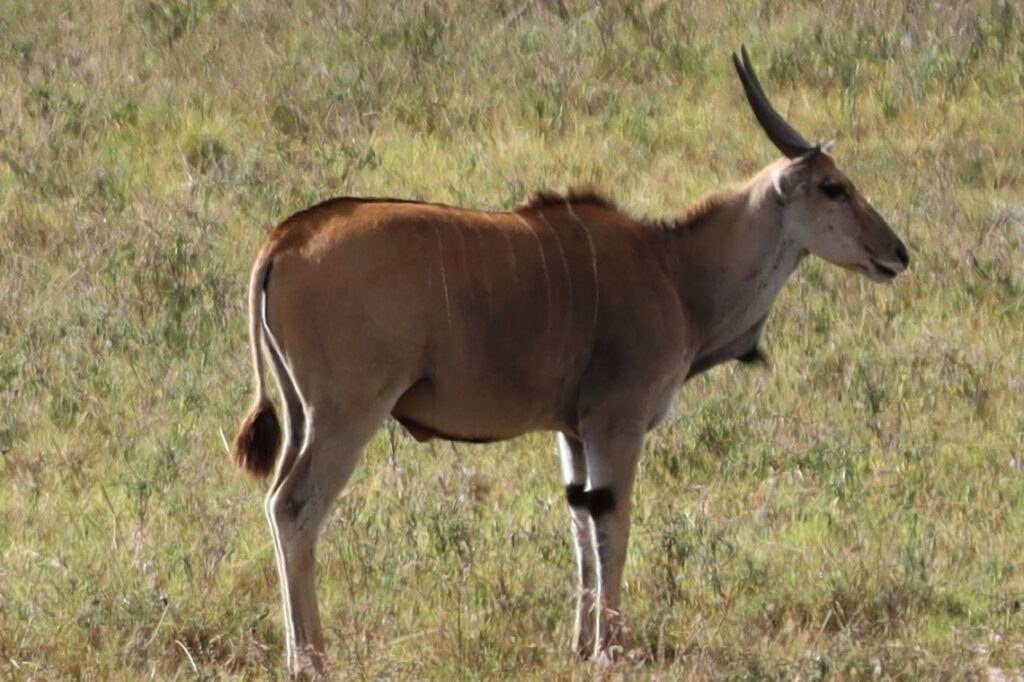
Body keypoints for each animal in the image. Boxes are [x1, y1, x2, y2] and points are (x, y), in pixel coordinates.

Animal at [230, 47, 905, 675]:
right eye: (834, 188)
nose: (898, 252)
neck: (673, 268)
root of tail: (285, 237)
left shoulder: (573, 431)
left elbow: (581, 526)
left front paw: (581, 645)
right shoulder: (616, 422)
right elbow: (613, 528)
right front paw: (612, 648)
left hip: (302, 414)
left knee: (275, 503)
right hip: (347, 415)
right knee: (296, 508)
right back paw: (311, 660)